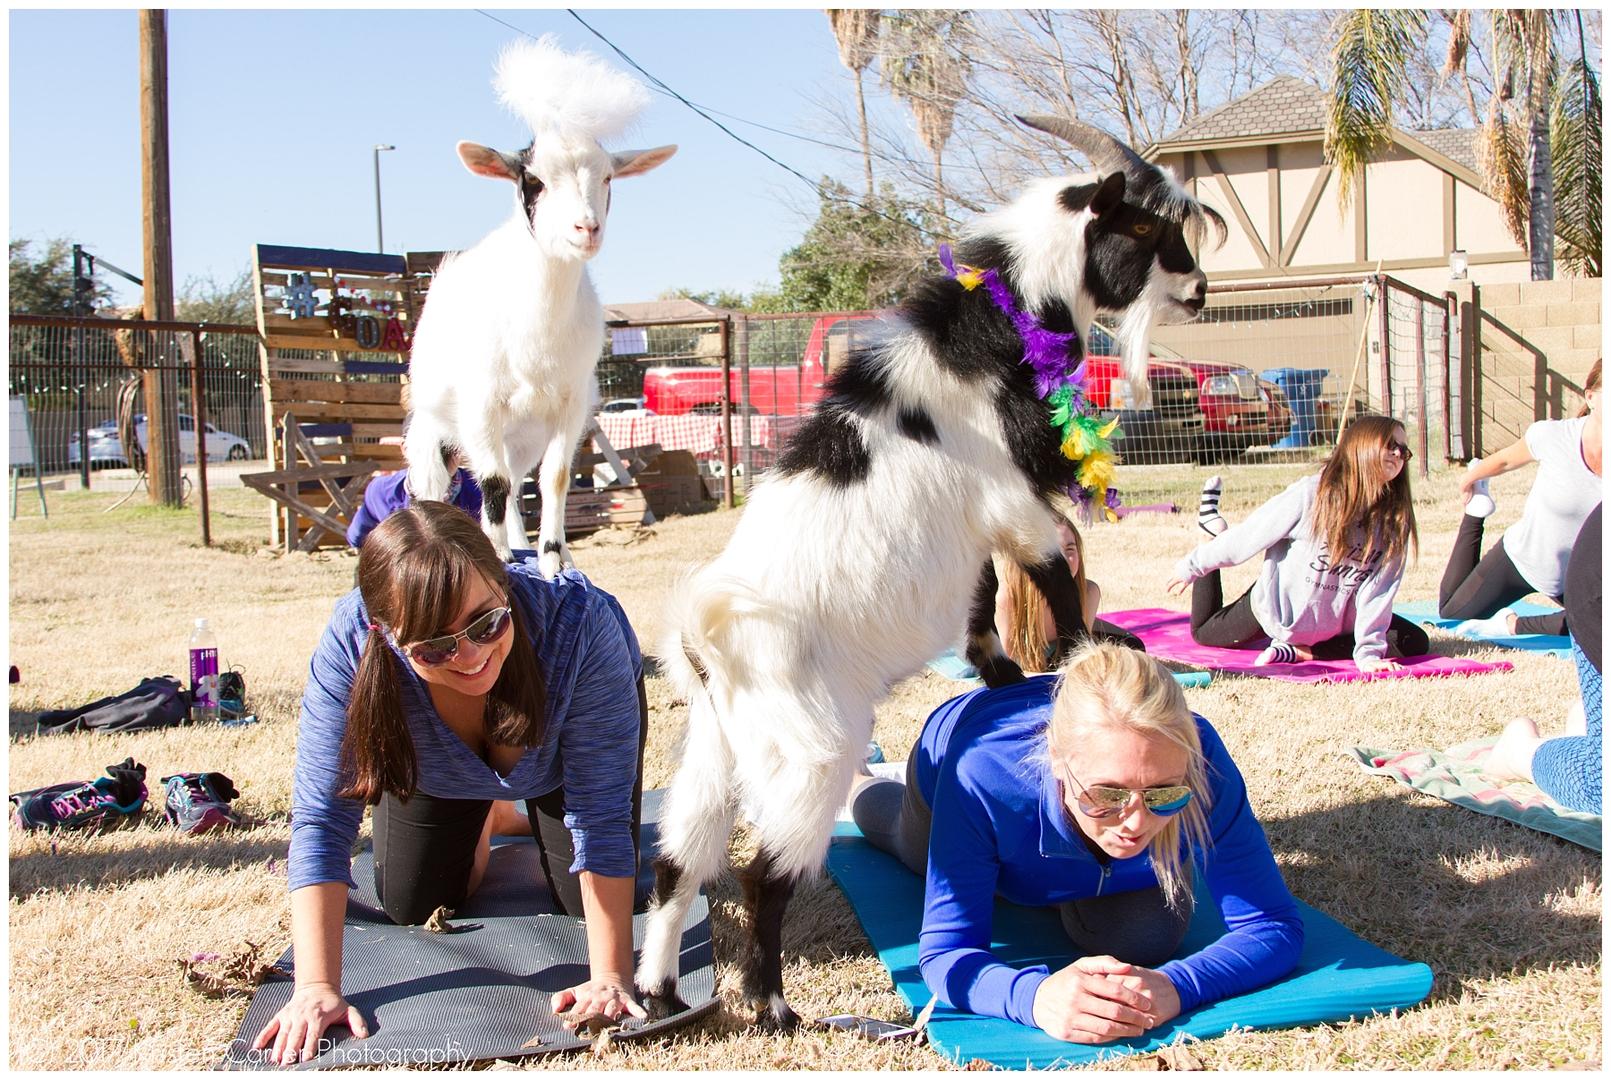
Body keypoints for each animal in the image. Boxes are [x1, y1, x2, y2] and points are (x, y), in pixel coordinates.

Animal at [409, 37, 679, 570]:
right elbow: (490, 484)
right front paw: (495, 557)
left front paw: (554, 559)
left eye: (608, 178)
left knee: (515, 488)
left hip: (521, 437)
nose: (586, 228)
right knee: (453, 485)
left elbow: (553, 480)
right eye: (532, 179)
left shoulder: (571, 407)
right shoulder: (480, 404)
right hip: (433, 429)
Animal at [634, 118, 1224, 1031]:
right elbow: (1048, 574)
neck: (988, 336)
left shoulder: (976, 526)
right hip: (813, 752)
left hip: (714, 747)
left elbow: (982, 594)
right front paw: (1082, 655)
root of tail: (707, 637)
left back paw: (659, 989)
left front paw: (1000, 675)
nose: (1197, 291)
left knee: (675, 863)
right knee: (763, 874)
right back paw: (771, 1004)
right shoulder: (1014, 498)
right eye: (1142, 225)